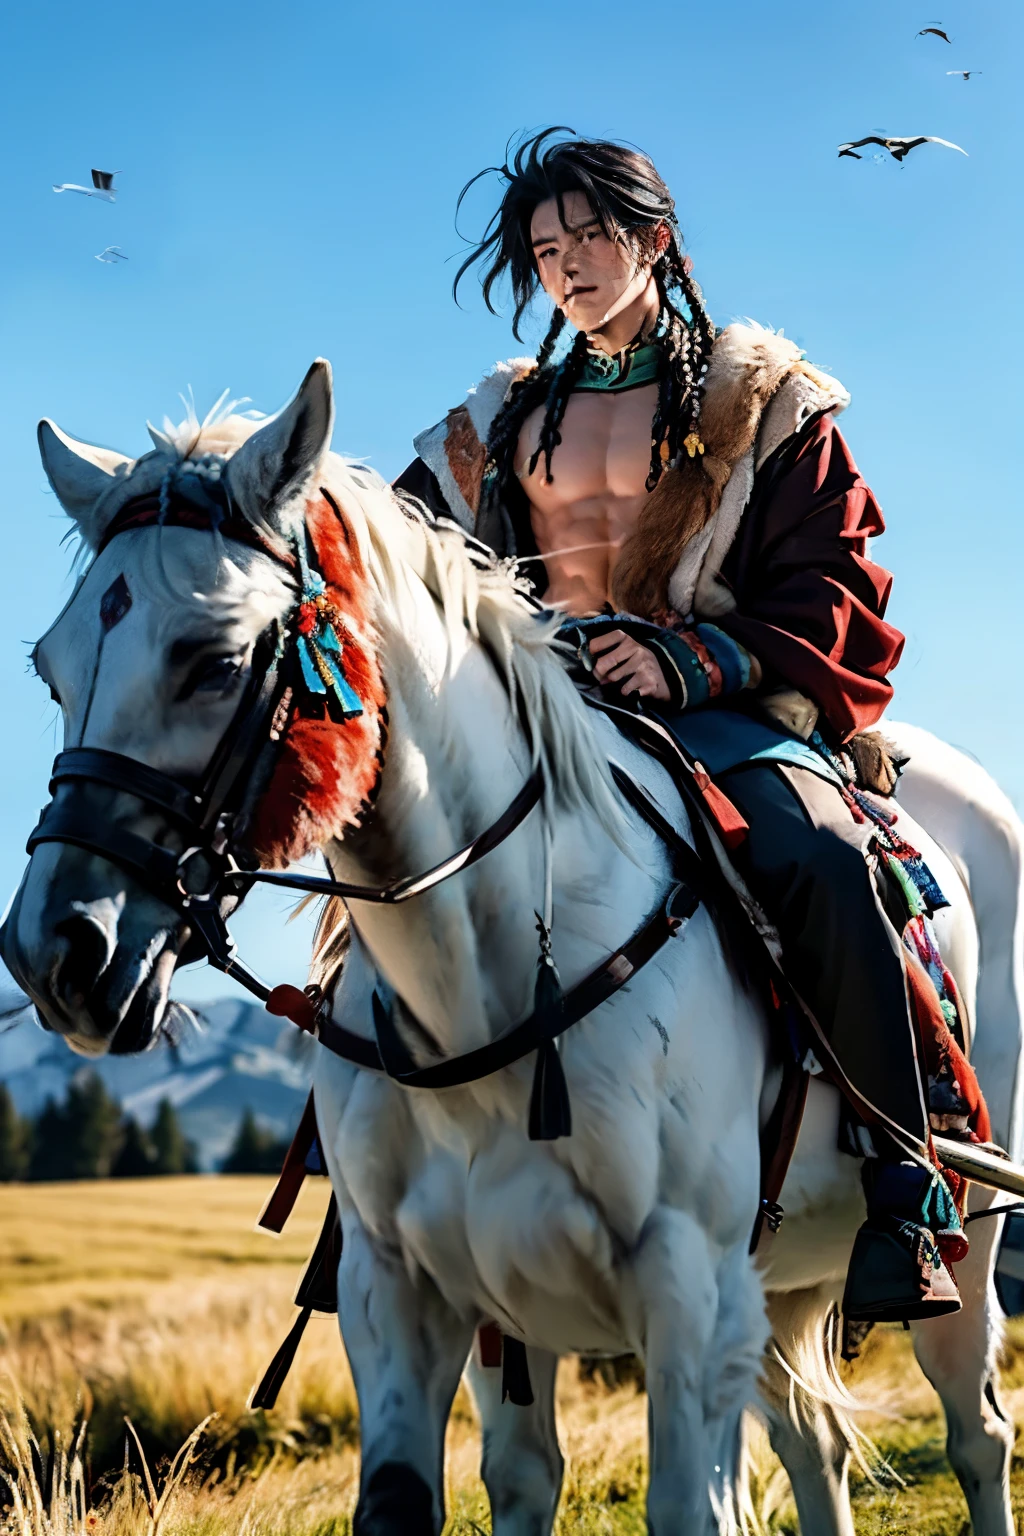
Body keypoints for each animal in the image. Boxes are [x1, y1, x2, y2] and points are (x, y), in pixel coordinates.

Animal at [4, 362, 1019, 1536]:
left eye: (211, 662)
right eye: (50, 669)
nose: (57, 955)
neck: (486, 989)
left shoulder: (688, 1293)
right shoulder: (413, 1296)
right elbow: (475, 1484)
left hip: (962, 1231)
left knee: (974, 1431)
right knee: (816, 1445)